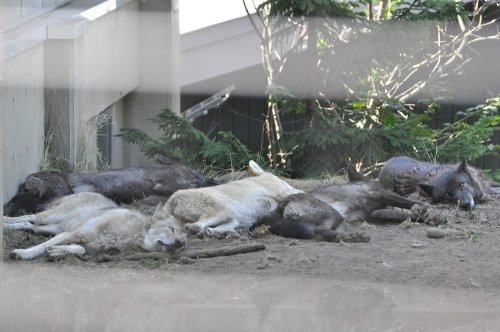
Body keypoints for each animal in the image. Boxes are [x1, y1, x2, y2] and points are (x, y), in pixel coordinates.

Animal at [2, 192, 187, 260]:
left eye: (184, 243)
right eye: (171, 229)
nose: (179, 243)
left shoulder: (79, 240)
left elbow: (80, 249)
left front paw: (59, 251)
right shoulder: (72, 234)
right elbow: (40, 247)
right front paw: (23, 253)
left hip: (49, 228)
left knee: (28, 224)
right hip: (47, 218)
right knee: (31, 216)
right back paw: (3, 220)